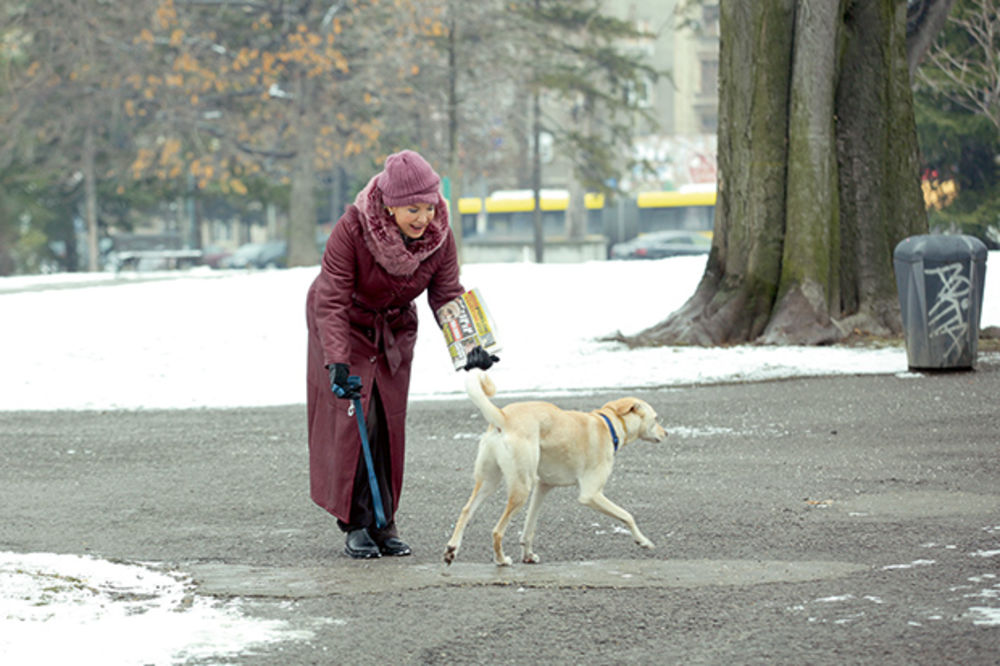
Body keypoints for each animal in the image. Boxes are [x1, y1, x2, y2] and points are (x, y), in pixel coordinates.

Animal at [444, 368, 664, 564]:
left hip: (490, 482)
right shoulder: (591, 495)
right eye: (656, 418)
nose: (667, 433)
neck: (608, 425)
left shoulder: (543, 487)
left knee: (466, 511)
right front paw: (643, 541)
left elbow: (529, 528)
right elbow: (628, 516)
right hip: (521, 488)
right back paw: (501, 560)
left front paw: (528, 556)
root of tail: (503, 417)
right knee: (497, 531)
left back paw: (452, 550)